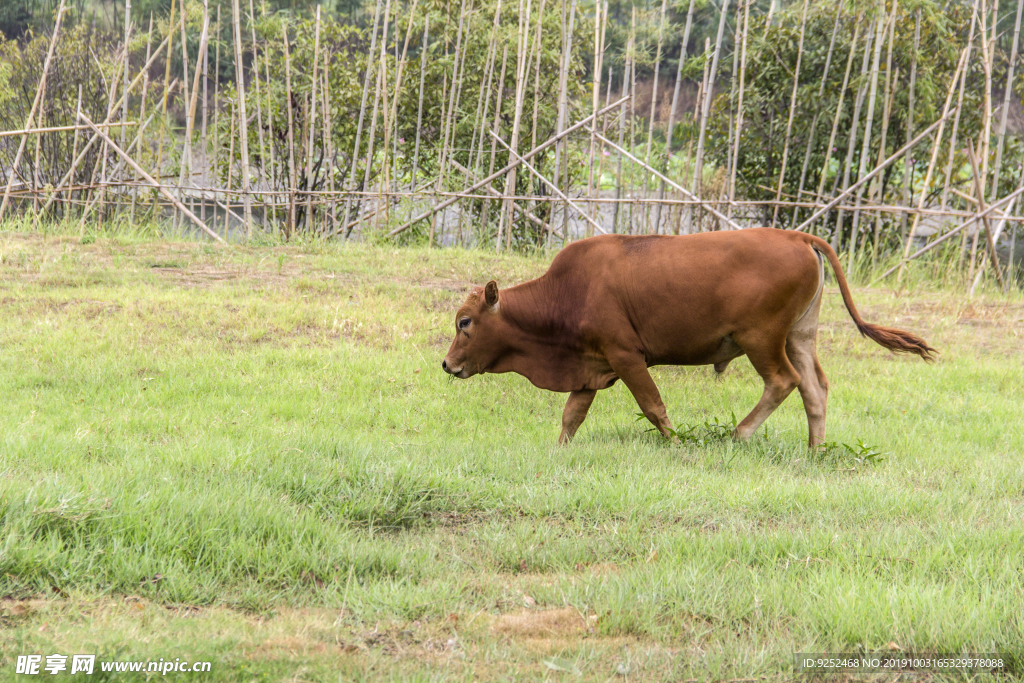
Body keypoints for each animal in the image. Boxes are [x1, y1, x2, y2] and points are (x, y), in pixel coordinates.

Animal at [440, 228, 937, 448]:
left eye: (465, 322)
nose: (446, 364)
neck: (567, 292)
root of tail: (794, 235)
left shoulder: (626, 356)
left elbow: (653, 406)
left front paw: (677, 443)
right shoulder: (591, 366)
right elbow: (571, 416)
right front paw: (559, 450)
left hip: (761, 339)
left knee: (783, 382)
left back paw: (739, 433)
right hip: (800, 335)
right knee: (815, 389)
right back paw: (815, 449)